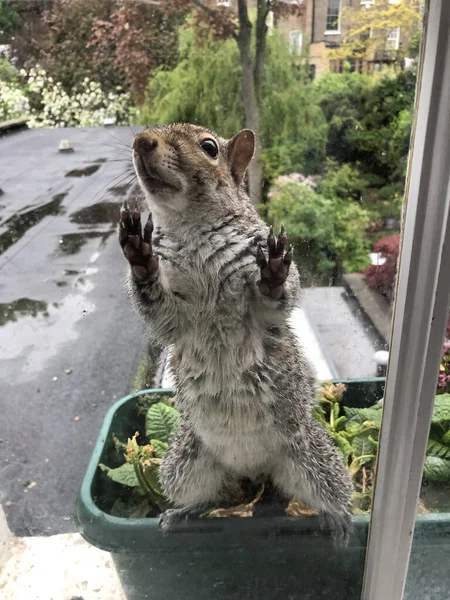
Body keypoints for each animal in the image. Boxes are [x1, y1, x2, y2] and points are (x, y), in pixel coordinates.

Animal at [118, 123, 354, 544]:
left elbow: (276, 299)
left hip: (313, 461)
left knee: (325, 492)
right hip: (185, 466)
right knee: (209, 495)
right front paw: (139, 255)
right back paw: (182, 513)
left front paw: (273, 274)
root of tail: (252, 468)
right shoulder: (173, 315)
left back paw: (338, 518)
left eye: (209, 147)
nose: (142, 141)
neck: (189, 226)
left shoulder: (258, 292)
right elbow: (158, 311)